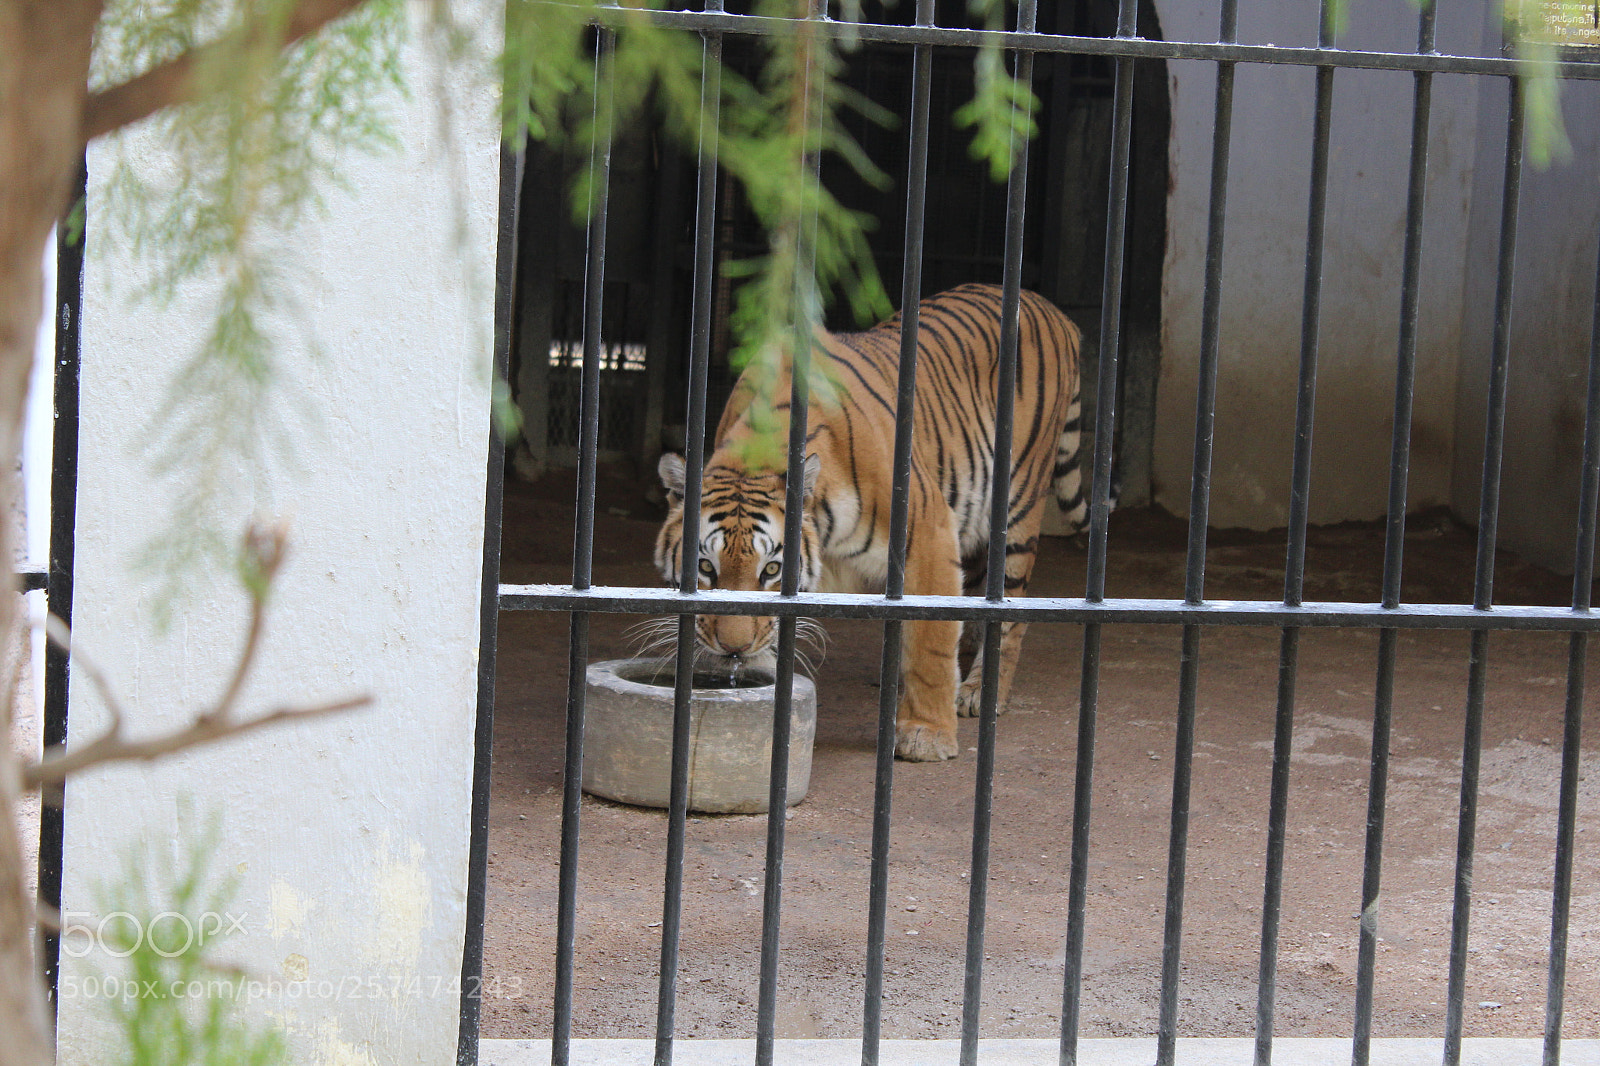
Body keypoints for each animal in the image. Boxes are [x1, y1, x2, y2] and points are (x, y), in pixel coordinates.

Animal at [654, 282, 1090, 762]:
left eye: (770, 570)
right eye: (705, 567)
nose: (734, 648)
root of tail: (1050, 308)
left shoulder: (929, 531)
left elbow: (932, 641)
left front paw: (928, 734)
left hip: (1019, 503)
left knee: (1010, 612)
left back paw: (978, 692)